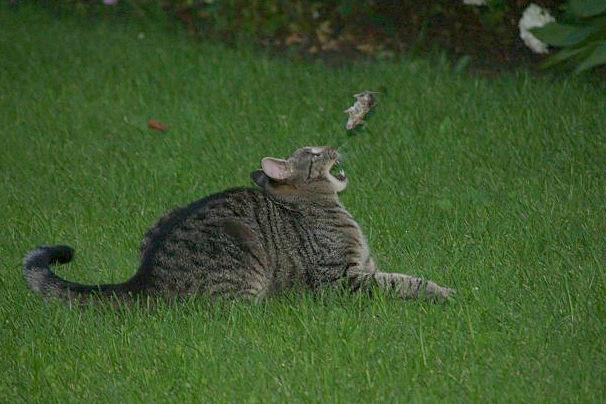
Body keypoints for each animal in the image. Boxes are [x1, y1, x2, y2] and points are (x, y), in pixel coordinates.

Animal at [23, 147, 456, 302]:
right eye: (316, 153)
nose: (335, 145)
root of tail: (143, 277)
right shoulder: (343, 279)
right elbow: (402, 282)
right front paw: (443, 292)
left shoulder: (365, 267)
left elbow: (399, 275)